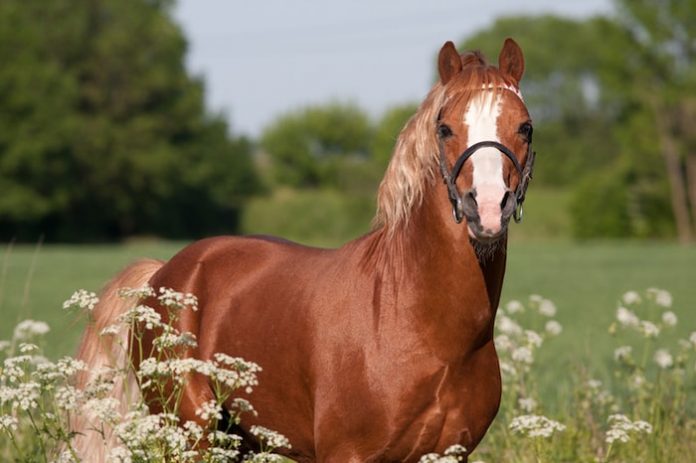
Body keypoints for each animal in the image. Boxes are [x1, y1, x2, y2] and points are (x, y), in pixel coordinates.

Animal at [74, 38, 535, 462]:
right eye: (445, 128)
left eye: (525, 127)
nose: (487, 208)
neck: (419, 323)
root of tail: (162, 273)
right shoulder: (346, 454)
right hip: (192, 435)